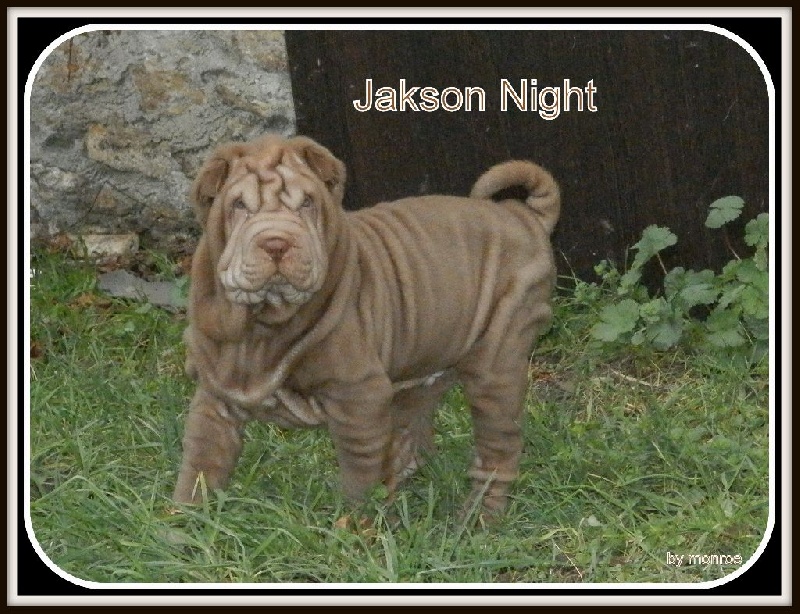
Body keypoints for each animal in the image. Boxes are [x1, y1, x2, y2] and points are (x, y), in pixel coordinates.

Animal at [172, 134, 560, 517]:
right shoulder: (215, 397)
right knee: (412, 429)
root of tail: (523, 216)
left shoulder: (359, 401)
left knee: (497, 450)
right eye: (239, 206)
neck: (263, 325)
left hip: (496, 365)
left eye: (307, 204)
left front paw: (351, 529)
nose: (276, 243)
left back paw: (479, 518)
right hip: (424, 363)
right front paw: (184, 523)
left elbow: (360, 482)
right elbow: (201, 465)